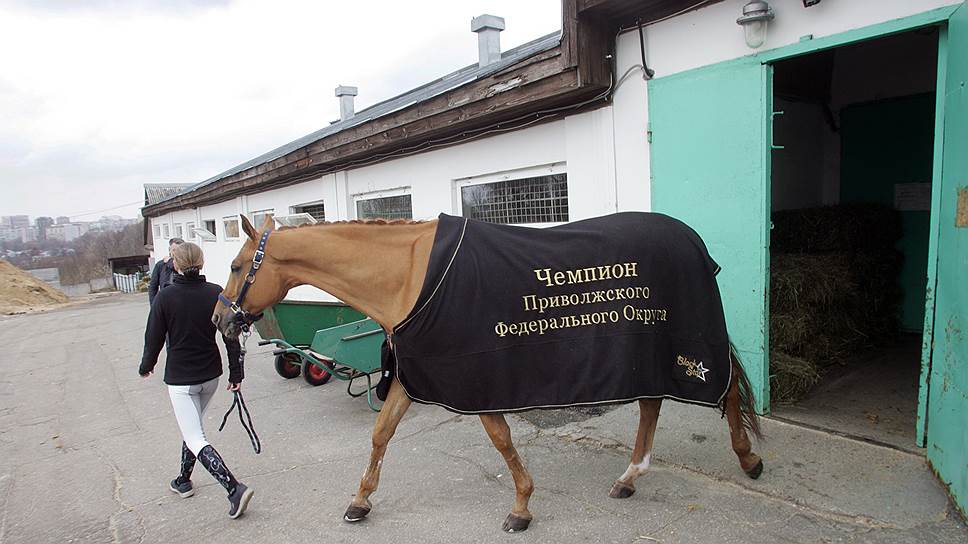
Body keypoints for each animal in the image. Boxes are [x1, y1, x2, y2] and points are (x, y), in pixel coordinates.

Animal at [212, 214, 764, 532]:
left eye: (238, 267)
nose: (220, 319)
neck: (409, 276)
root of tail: (692, 240)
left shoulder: (471, 381)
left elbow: (500, 439)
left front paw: (521, 506)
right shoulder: (414, 377)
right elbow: (381, 433)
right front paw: (360, 501)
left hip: (681, 348)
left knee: (726, 390)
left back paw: (748, 459)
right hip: (646, 354)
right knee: (653, 403)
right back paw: (630, 477)